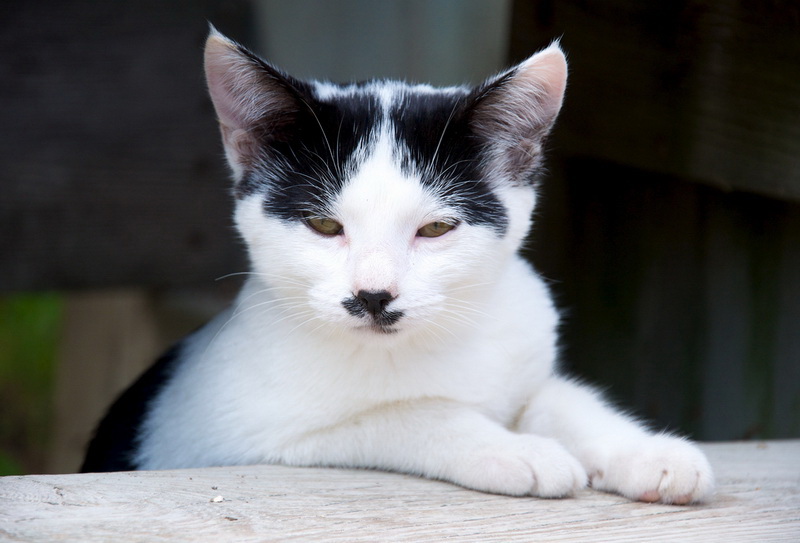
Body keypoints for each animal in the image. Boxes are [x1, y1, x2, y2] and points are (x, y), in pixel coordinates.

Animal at [83, 28, 712, 506]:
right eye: (324, 225)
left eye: (434, 229)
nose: (373, 295)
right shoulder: (244, 440)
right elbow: (410, 412)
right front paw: (516, 448)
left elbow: (560, 398)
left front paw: (647, 451)